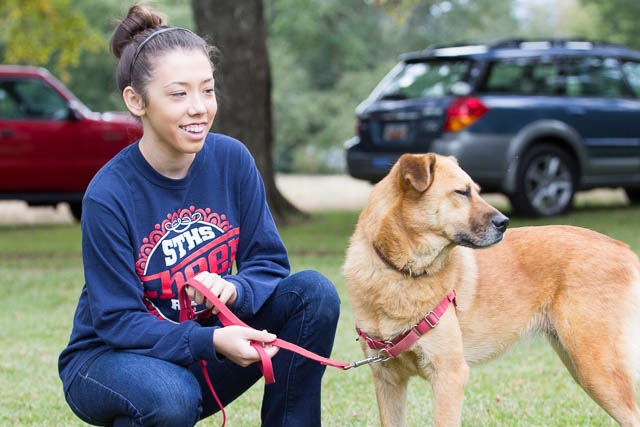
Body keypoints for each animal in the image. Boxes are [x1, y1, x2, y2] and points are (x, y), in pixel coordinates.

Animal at [344, 155, 640, 427]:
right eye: (462, 192)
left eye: (476, 190)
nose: (505, 222)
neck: (402, 274)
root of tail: (625, 250)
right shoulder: (388, 380)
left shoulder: (449, 376)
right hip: (580, 364)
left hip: (598, 371)